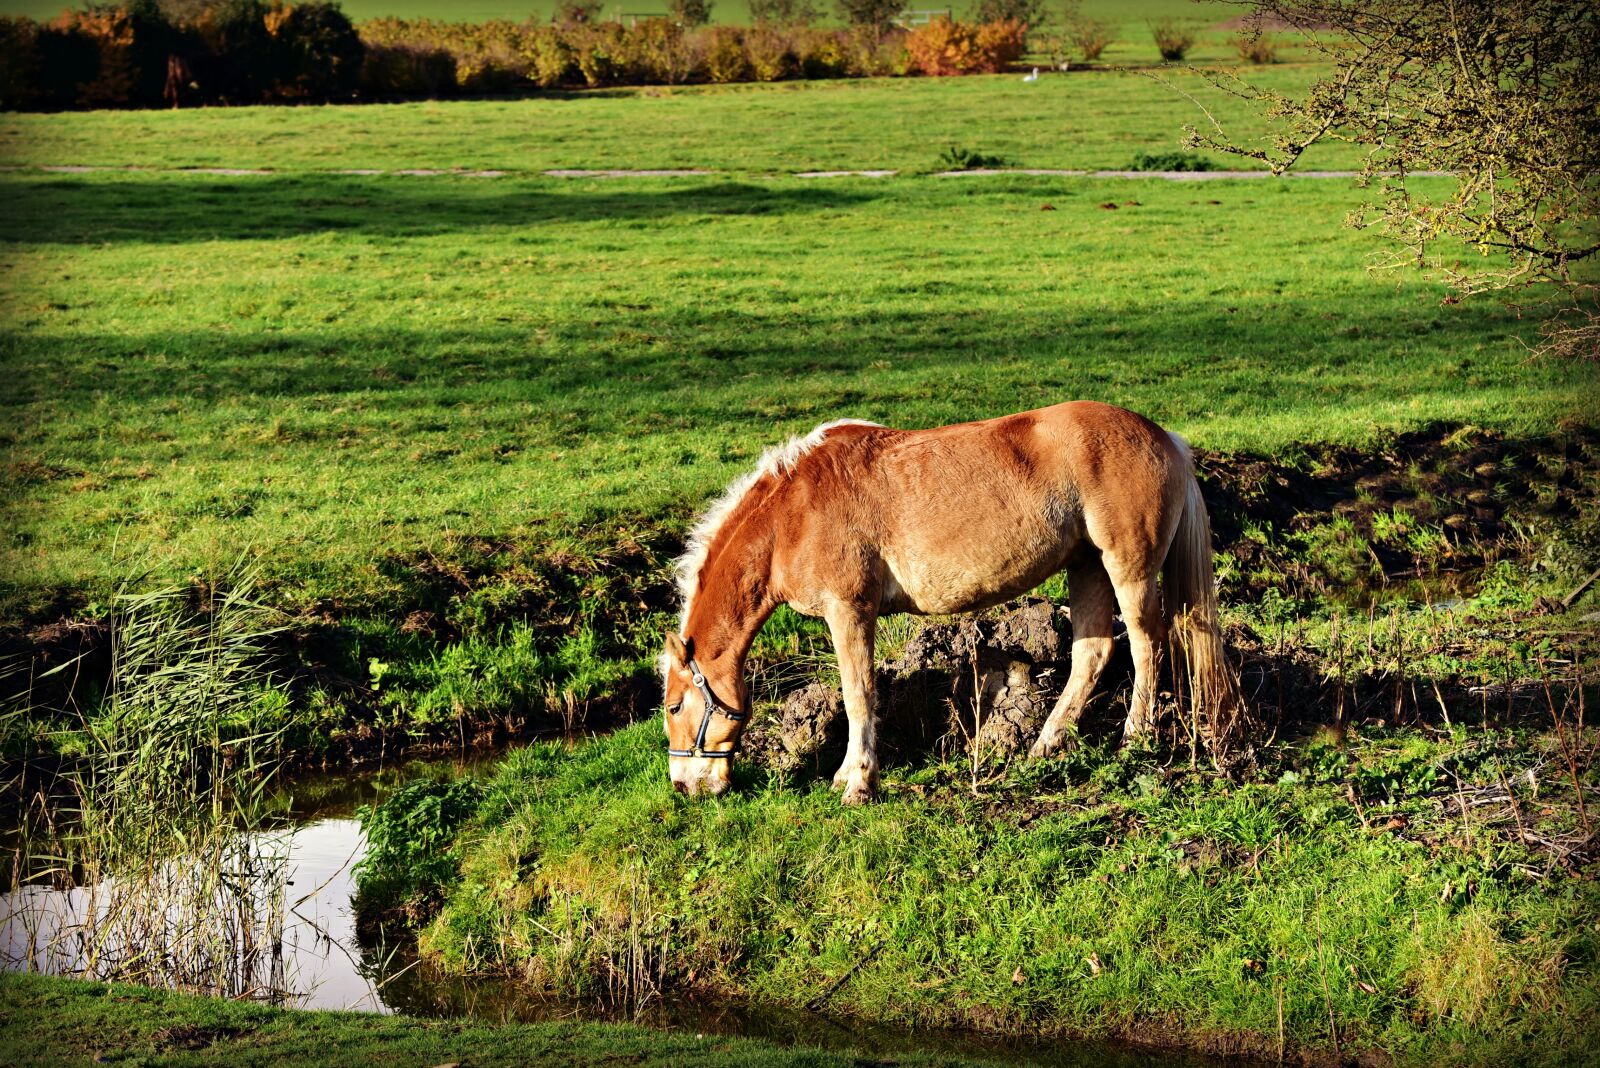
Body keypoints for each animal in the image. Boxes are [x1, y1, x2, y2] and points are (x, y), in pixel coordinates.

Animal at [660, 401, 1245, 803]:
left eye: (673, 706)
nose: (685, 785)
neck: (794, 512)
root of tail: (1164, 438)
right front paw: (848, 775)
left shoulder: (849, 611)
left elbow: (859, 696)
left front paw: (859, 782)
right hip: (1088, 567)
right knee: (1093, 653)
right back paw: (1045, 744)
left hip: (1128, 567)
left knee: (1148, 645)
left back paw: (1135, 737)